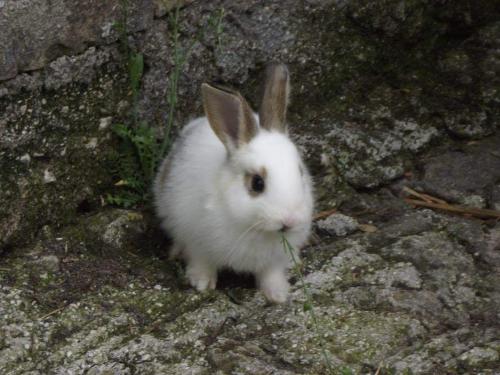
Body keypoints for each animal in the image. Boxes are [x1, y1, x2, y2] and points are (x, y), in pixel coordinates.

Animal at [154, 63, 314, 304]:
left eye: (300, 172)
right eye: (257, 183)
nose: (289, 221)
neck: (253, 225)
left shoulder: (273, 260)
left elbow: (270, 274)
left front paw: (278, 294)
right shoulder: (197, 241)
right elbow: (202, 262)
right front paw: (201, 283)